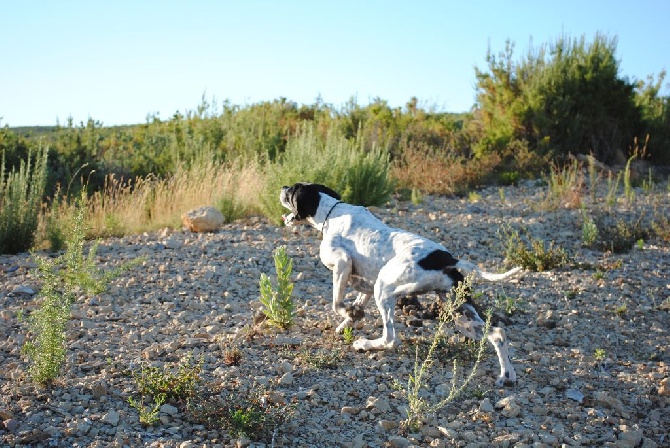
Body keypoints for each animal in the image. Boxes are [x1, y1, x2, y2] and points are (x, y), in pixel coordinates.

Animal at [280, 182, 524, 384]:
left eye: (291, 190)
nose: (282, 187)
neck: (331, 212)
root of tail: (447, 258)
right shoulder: (367, 284)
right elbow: (355, 306)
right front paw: (349, 320)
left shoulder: (343, 264)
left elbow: (337, 303)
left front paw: (346, 314)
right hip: (460, 313)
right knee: (497, 334)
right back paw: (507, 374)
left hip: (385, 290)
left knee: (390, 339)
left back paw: (364, 344)